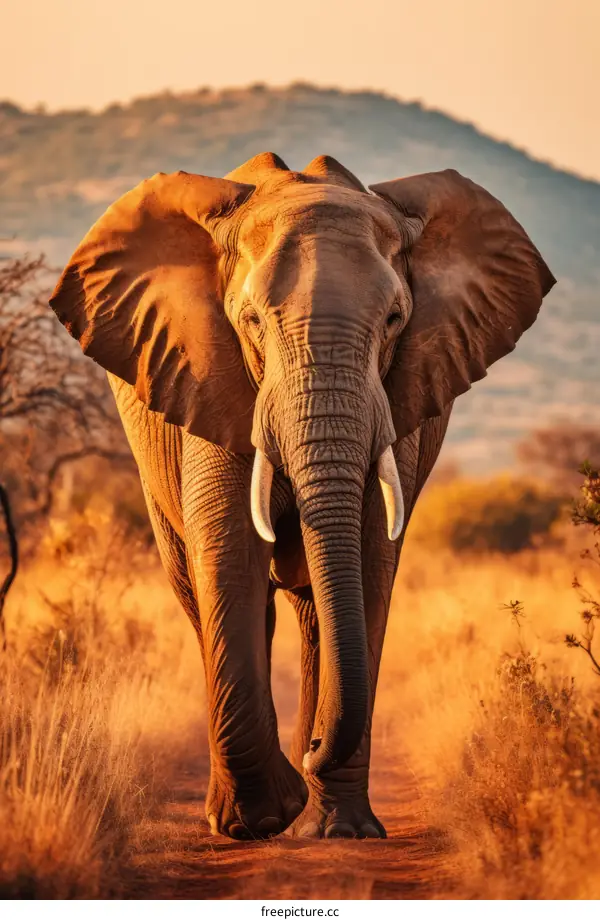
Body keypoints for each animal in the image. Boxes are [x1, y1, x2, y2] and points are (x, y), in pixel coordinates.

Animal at [49, 152, 555, 840]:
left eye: (395, 321)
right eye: (251, 321)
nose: (314, 749)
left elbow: (368, 560)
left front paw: (340, 831)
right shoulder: (210, 374)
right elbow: (230, 553)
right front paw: (257, 820)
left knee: (318, 612)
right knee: (207, 594)